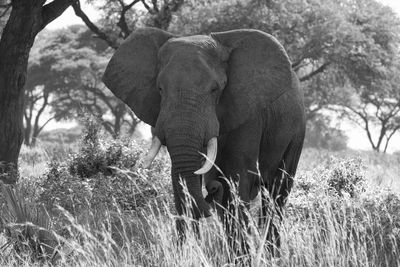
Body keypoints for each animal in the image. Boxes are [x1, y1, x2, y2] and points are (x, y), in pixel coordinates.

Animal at [101, 28, 304, 238]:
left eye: (215, 89)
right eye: (160, 88)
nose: (212, 188)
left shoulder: (249, 115)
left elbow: (238, 175)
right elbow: (181, 178)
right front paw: (188, 245)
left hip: (296, 133)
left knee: (277, 191)